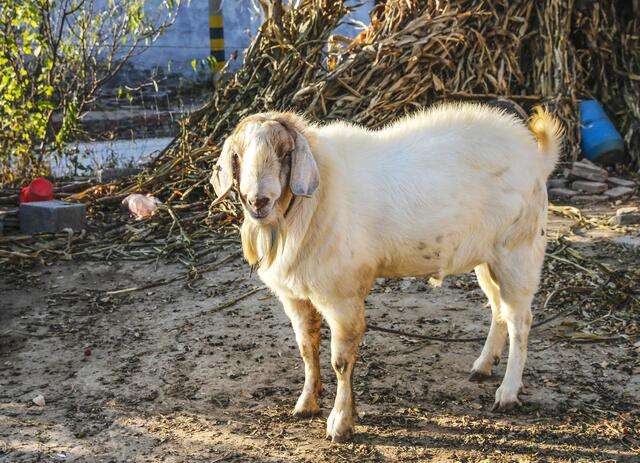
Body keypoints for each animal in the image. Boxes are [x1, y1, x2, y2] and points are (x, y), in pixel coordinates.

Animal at [209, 103, 560, 444]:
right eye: (237, 155)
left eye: (285, 153)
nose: (258, 201)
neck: (310, 205)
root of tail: (537, 157)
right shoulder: (295, 296)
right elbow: (307, 349)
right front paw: (306, 404)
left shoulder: (342, 297)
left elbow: (341, 362)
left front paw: (340, 424)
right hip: (487, 259)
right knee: (499, 310)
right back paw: (483, 367)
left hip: (518, 252)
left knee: (520, 321)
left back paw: (507, 393)